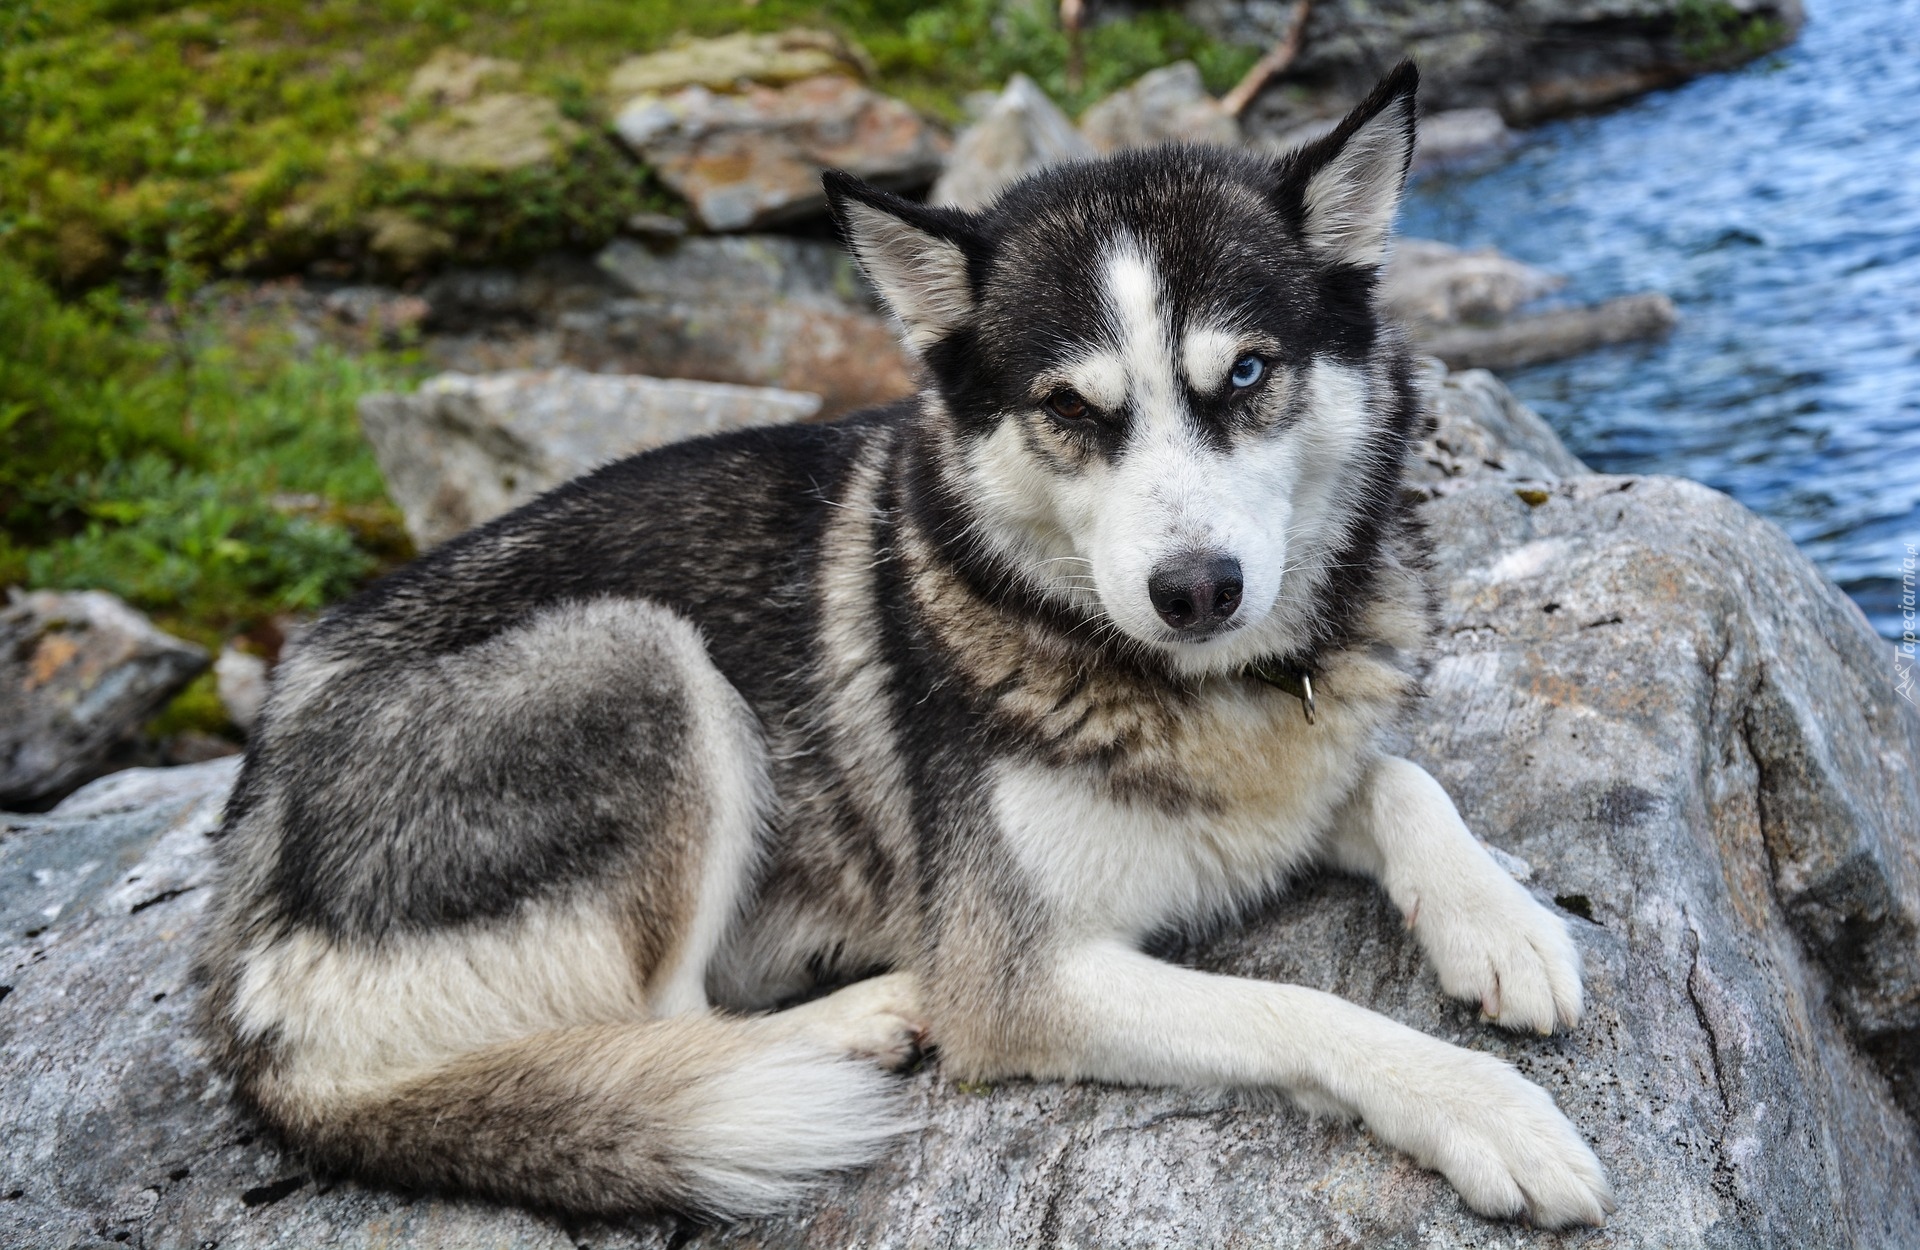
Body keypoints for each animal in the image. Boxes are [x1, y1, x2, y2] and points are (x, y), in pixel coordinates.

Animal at [194, 63, 1612, 1228]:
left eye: (1249, 373)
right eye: (1069, 408)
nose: (1198, 590)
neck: (1195, 686)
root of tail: (242, 928)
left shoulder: (1297, 766)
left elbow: (1396, 775)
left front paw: (1504, 923)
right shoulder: (1021, 974)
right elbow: (1301, 1006)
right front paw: (1484, 1106)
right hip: (638, 659)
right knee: (663, 1024)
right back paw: (854, 1019)